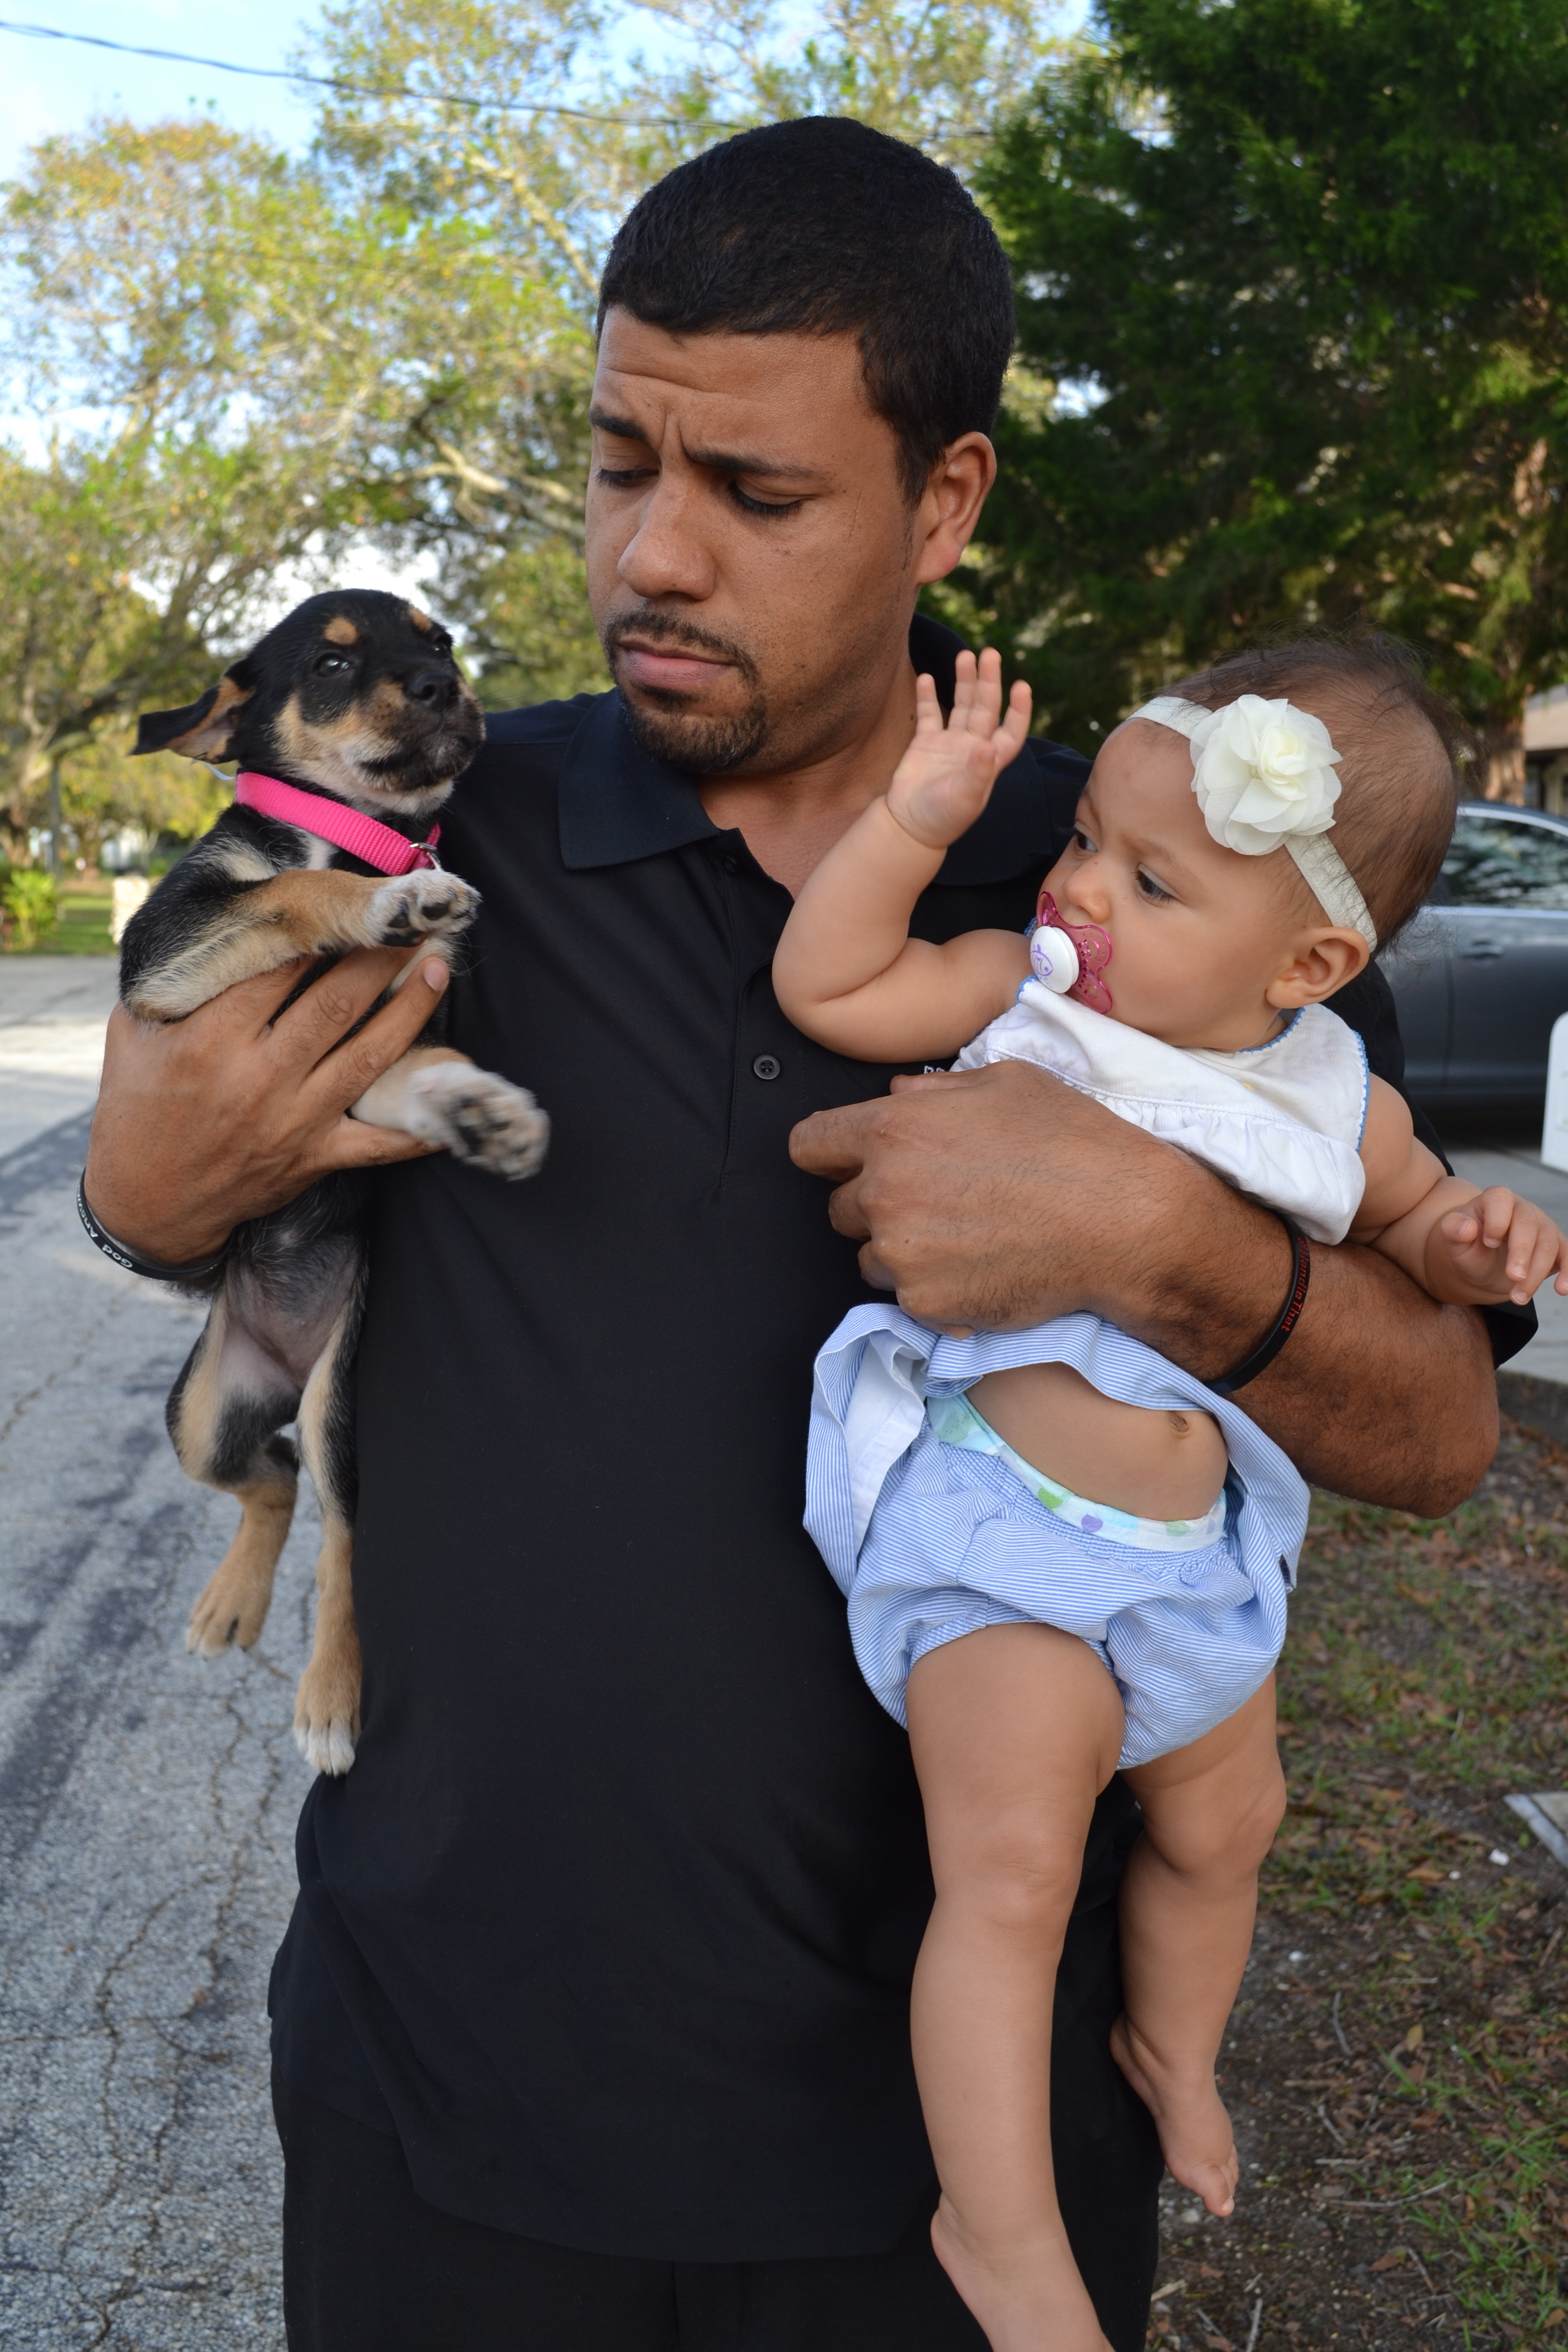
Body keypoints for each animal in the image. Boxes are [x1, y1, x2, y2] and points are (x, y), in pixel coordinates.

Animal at [118, 588, 545, 1769]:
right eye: (334, 664)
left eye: (440, 640)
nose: (447, 684)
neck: (352, 832)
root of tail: (277, 1365)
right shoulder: (166, 956)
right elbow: (287, 893)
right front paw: (389, 904)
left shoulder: (377, 1051)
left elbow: (421, 1071)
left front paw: (476, 1110)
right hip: (200, 1415)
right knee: (266, 1481)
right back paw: (230, 1606)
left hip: (338, 1403)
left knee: (334, 1531)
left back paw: (326, 1698)